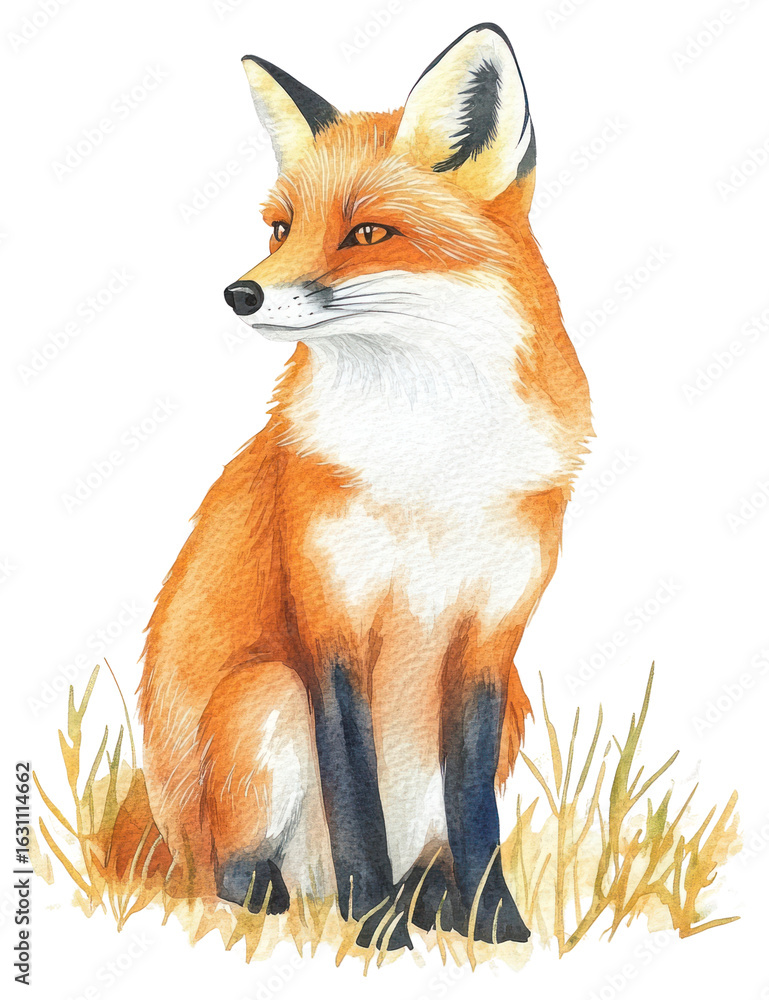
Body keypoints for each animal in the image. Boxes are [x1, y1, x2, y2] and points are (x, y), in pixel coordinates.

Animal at [138, 22, 592, 950]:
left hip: (512, 708)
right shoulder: (329, 621)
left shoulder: (491, 637)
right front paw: (376, 930)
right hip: (264, 696)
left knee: (432, 844)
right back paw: (297, 900)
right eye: (280, 228)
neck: (432, 463)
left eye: (368, 232)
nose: (240, 292)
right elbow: (355, 793)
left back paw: (433, 901)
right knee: (236, 877)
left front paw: (497, 927)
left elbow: (474, 816)